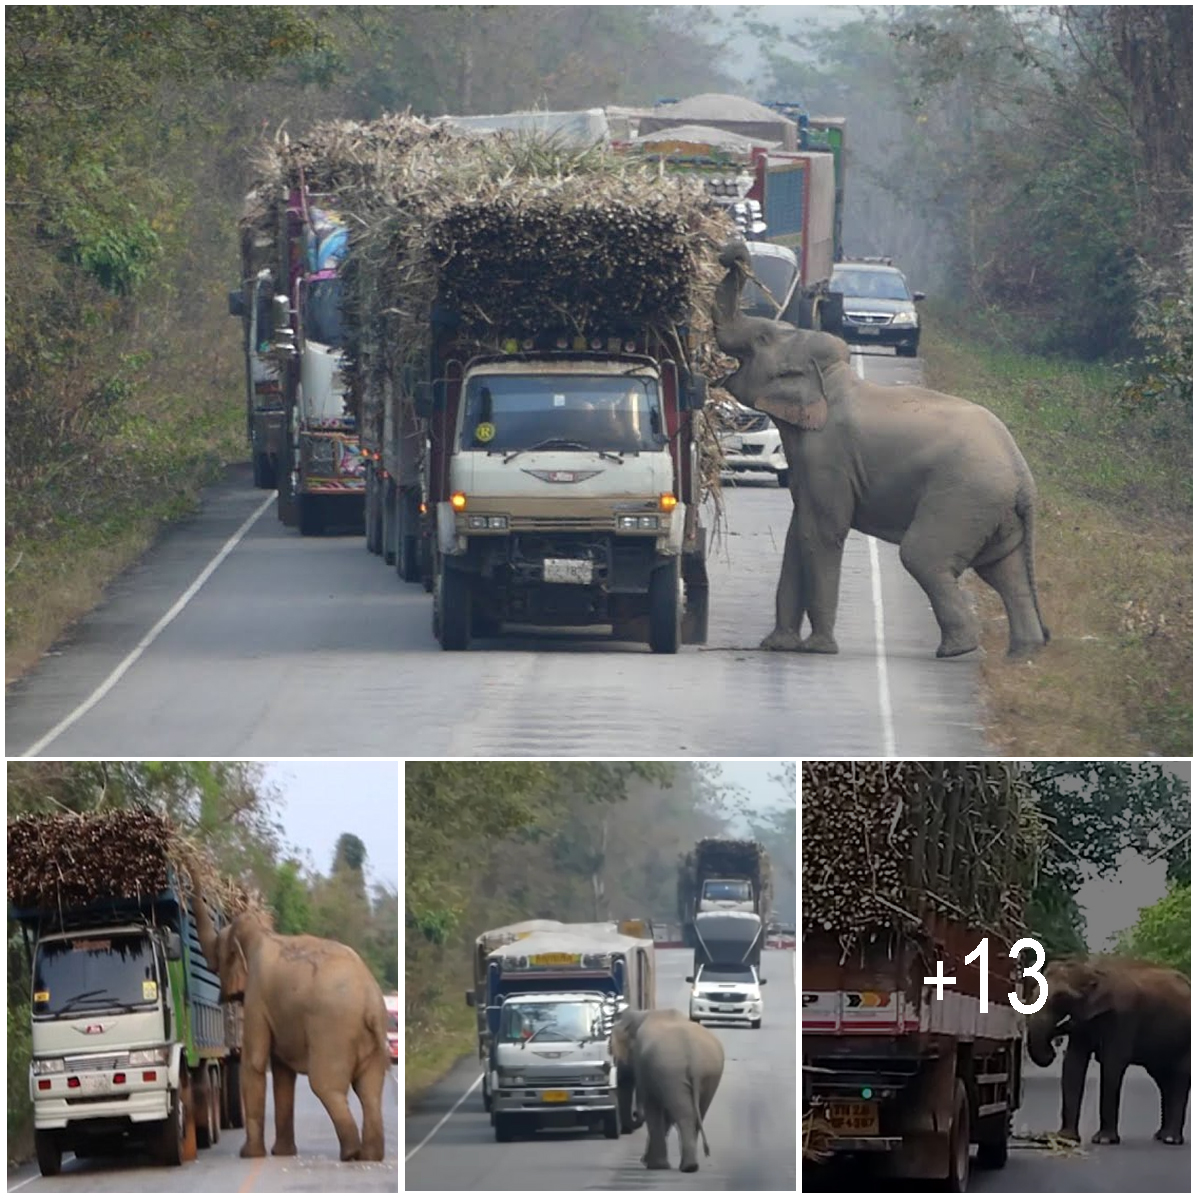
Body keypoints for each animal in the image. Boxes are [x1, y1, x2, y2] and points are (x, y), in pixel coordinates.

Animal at [188, 883, 388, 1161]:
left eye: (218, 948)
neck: (263, 933)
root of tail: (371, 1003)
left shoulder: (257, 996)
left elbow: (255, 1062)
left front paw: (249, 1154)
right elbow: (282, 1071)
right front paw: (281, 1153)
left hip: (333, 1033)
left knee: (326, 1086)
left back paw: (350, 1153)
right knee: (369, 1091)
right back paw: (369, 1156)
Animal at [609, 1003, 720, 1171]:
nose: (635, 1113)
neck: (643, 1014)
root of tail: (694, 1058)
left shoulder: (645, 1065)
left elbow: (652, 1107)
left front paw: (654, 1165)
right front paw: (650, 1162)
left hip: (671, 1069)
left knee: (684, 1114)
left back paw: (687, 1167)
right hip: (708, 1074)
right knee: (698, 1112)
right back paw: (690, 1166)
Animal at [710, 238, 1051, 662]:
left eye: (761, 340)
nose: (732, 251)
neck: (834, 379)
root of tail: (1024, 477)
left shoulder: (829, 454)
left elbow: (821, 531)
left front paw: (818, 649)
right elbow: (797, 531)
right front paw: (777, 645)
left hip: (963, 497)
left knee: (923, 556)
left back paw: (957, 650)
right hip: (996, 511)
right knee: (1005, 571)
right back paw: (1022, 654)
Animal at [1022, 955, 1190, 1142]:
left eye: (1062, 997)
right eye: (1033, 990)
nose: (1052, 1051)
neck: (1091, 969)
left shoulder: (1124, 1018)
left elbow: (1113, 1065)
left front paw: (1104, 1140)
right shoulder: (1084, 1020)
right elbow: (1073, 1063)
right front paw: (1066, 1138)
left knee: (1180, 1076)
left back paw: (1171, 1139)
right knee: (1163, 1079)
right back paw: (1161, 1135)